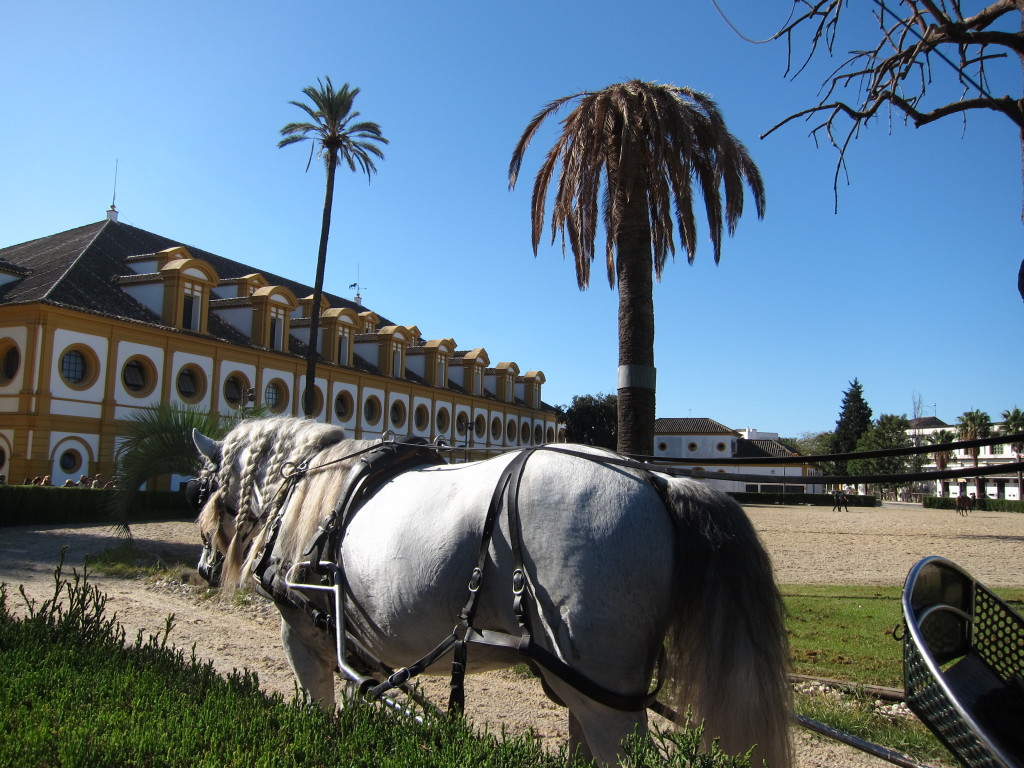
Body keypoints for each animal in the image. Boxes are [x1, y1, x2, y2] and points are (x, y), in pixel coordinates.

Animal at [192, 421, 790, 768]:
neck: (311, 491)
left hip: (603, 700)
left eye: (204, 487)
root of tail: (658, 481)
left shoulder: (303, 635)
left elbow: (321, 712)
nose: (203, 567)